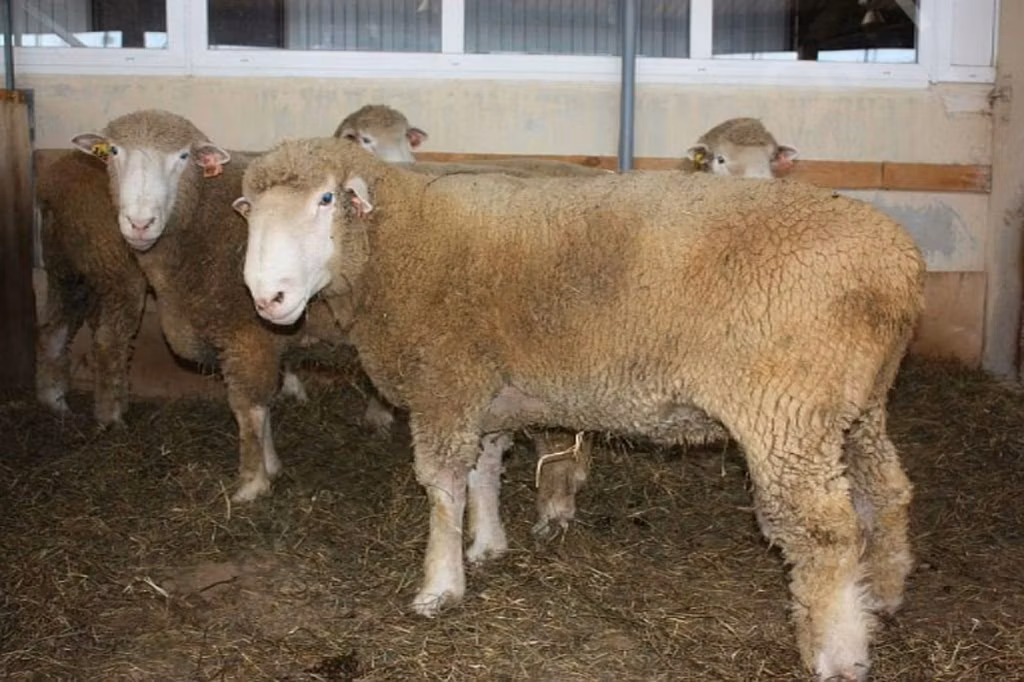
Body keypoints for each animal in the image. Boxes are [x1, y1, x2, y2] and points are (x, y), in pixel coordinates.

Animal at [68, 108, 312, 502]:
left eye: (183, 157)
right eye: (115, 151)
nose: (140, 223)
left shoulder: (248, 332)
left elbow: (249, 410)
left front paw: (251, 485)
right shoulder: (260, 340)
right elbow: (263, 407)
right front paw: (272, 466)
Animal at [236, 136, 925, 681]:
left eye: (326, 201)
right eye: (249, 213)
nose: (267, 298)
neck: (397, 241)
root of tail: (899, 266)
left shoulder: (446, 383)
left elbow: (442, 488)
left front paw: (440, 586)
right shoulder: (488, 389)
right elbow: (485, 470)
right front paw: (487, 545)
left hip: (787, 410)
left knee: (826, 533)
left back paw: (838, 653)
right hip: (856, 405)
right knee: (885, 493)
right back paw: (883, 596)